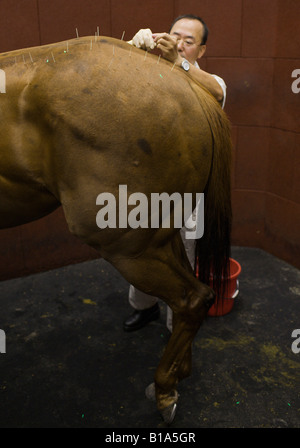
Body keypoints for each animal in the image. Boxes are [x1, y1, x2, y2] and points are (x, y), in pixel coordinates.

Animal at [0, 36, 232, 424]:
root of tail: (190, 87)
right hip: (158, 237)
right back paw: (178, 374)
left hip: (129, 249)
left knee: (192, 298)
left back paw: (165, 390)